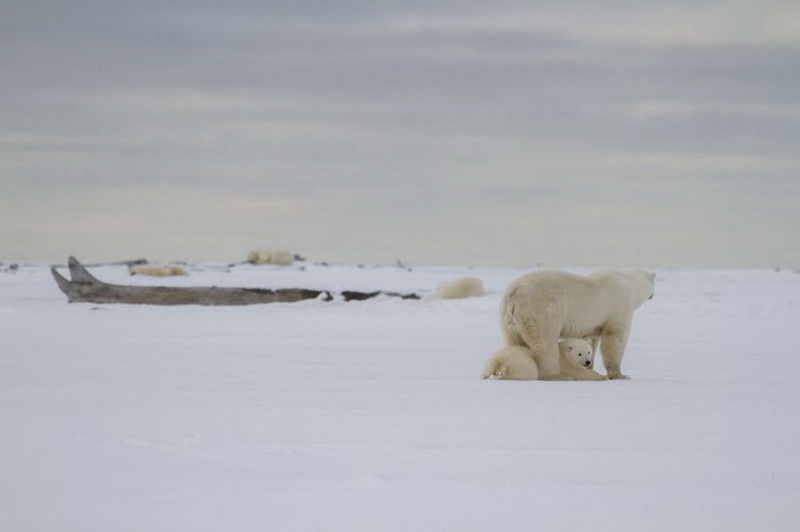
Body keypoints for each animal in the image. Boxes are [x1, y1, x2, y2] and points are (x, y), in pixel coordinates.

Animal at [500, 270, 656, 378]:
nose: (652, 295)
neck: (629, 282)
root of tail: (514, 294)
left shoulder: (594, 325)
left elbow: (592, 341)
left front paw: (589, 365)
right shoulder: (619, 307)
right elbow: (614, 340)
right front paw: (620, 375)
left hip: (508, 319)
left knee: (515, 343)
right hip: (541, 310)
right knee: (545, 344)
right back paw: (556, 376)